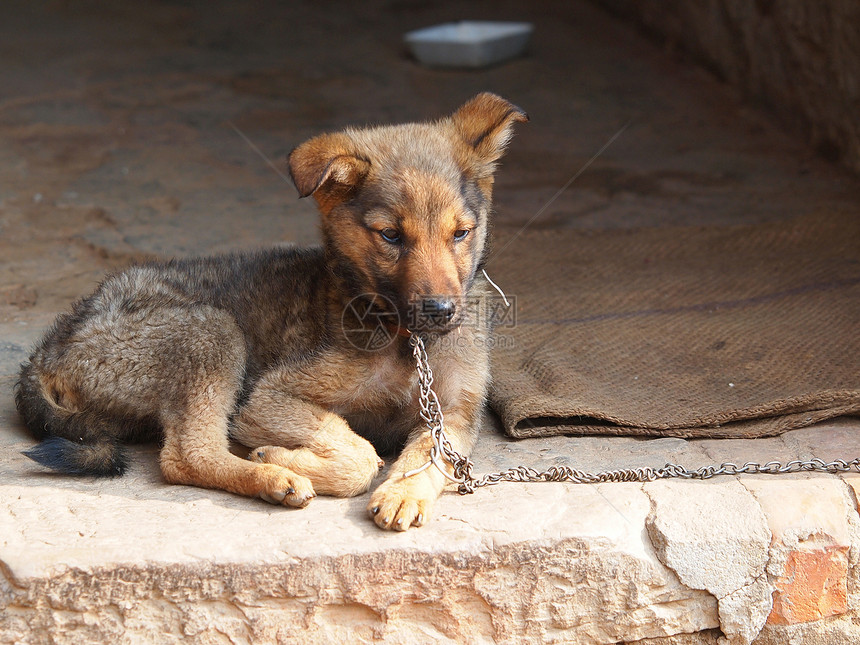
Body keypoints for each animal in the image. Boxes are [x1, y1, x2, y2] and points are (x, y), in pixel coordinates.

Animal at [15, 94, 524, 528]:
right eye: (391, 236)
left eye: (461, 233)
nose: (440, 311)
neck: (408, 342)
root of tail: (51, 344)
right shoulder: (268, 396)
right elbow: (360, 454)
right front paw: (279, 455)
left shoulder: (453, 413)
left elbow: (430, 460)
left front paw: (404, 493)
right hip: (211, 330)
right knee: (186, 456)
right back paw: (273, 476)